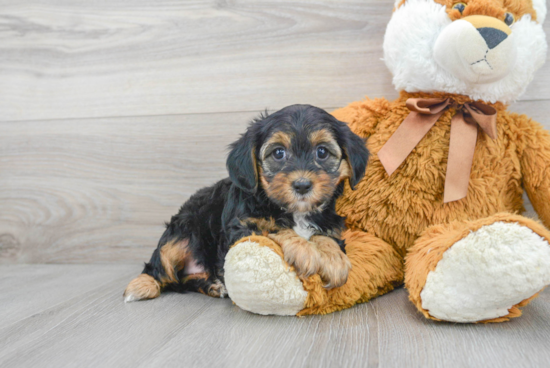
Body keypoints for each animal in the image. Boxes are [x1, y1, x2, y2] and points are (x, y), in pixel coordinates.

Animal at [123, 104, 368, 302]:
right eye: (278, 153)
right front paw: (305, 251)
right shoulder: (239, 229)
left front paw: (333, 259)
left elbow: (326, 236)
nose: (302, 185)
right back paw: (142, 286)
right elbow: (274, 229)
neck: (295, 211)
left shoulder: (331, 224)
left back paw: (214, 286)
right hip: (181, 232)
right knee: (160, 267)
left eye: (322, 152)